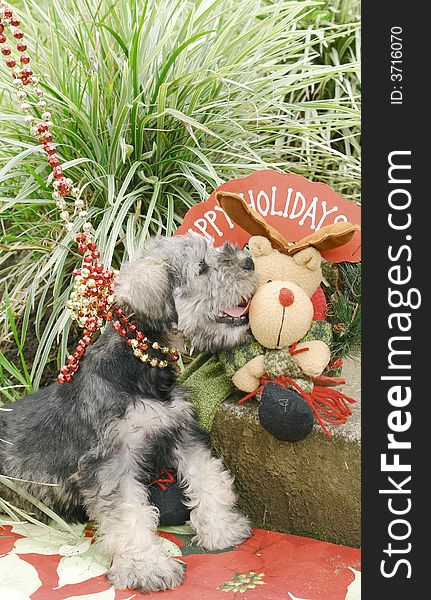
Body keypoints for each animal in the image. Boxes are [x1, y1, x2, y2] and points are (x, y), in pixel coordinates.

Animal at [0, 232, 256, 592]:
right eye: (202, 267)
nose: (250, 261)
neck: (139, 367)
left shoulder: (181, 432)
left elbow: (209, 478)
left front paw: (222, 529)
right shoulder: (110, 462)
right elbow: (129, 515)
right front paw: (146, 567)